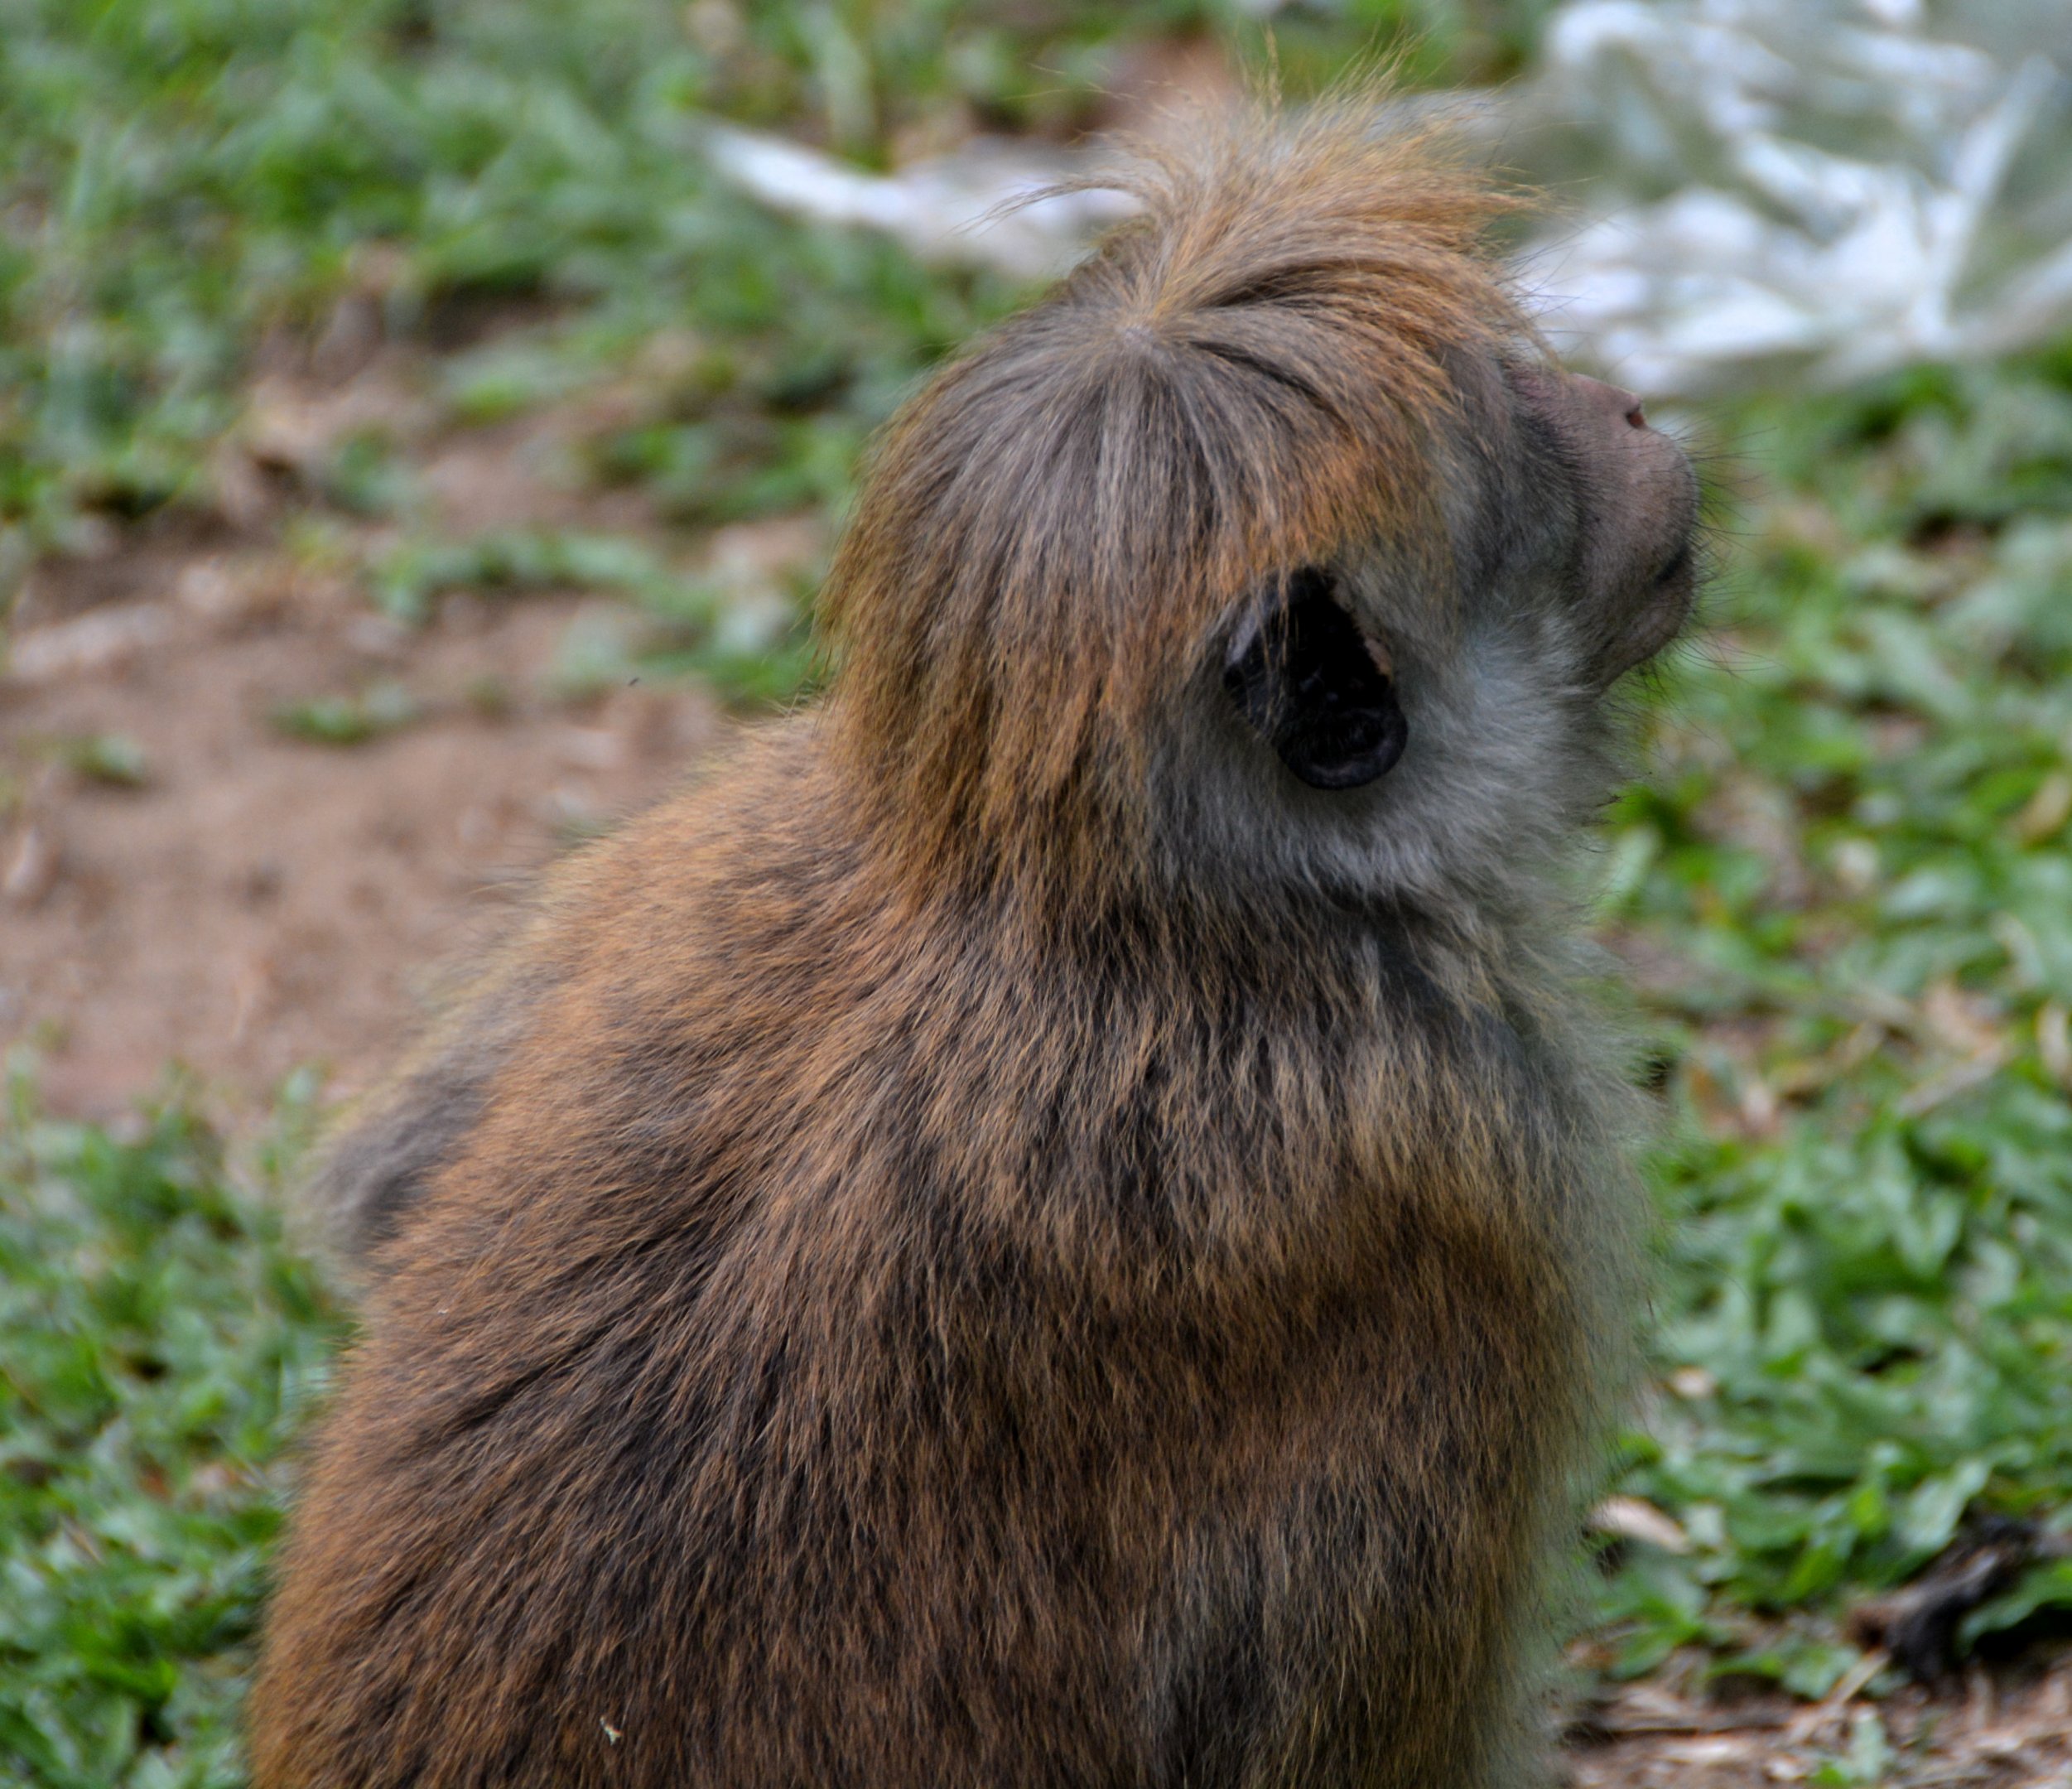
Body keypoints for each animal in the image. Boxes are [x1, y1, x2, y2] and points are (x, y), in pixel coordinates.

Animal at [249, 97, 1701, 1789]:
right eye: (1530, 439)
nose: (1625, 409)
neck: (1087, 905)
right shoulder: (1467, 1191)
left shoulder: (740, 808)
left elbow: (377, 1201)